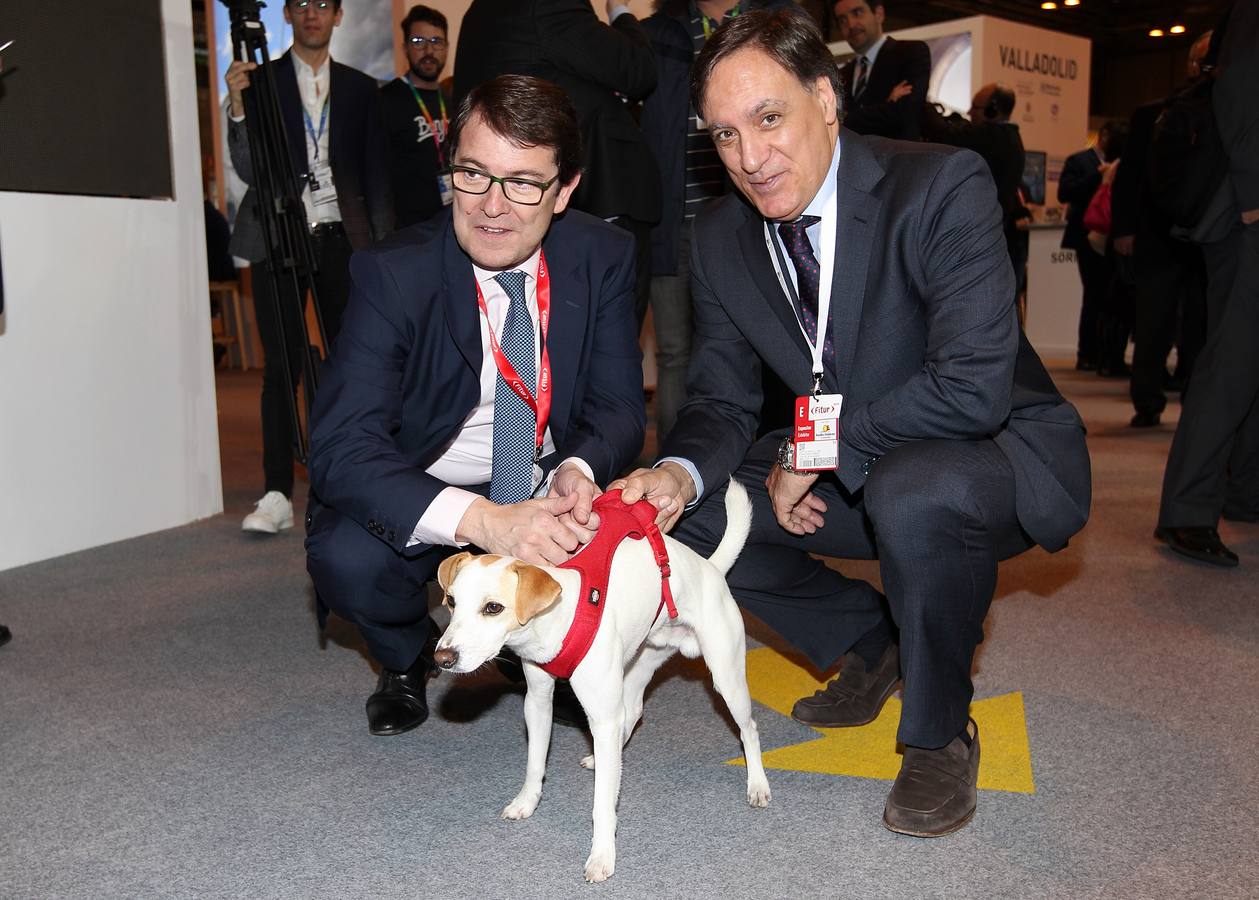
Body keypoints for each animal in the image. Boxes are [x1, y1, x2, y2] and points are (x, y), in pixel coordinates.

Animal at [433, 483, 765, 886]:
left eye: (493, 608)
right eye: (452, 602)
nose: (442, 659)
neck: (560, 618)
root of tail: (711, 569)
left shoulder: (601, 717)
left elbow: (603, 804)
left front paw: (602, 854)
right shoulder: (538, 702)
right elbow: (535, 763)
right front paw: (527, 802)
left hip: (726, 676)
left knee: (748, 729)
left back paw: (758, 784)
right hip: (638, 663)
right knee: (631, 714)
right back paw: (605, 757)